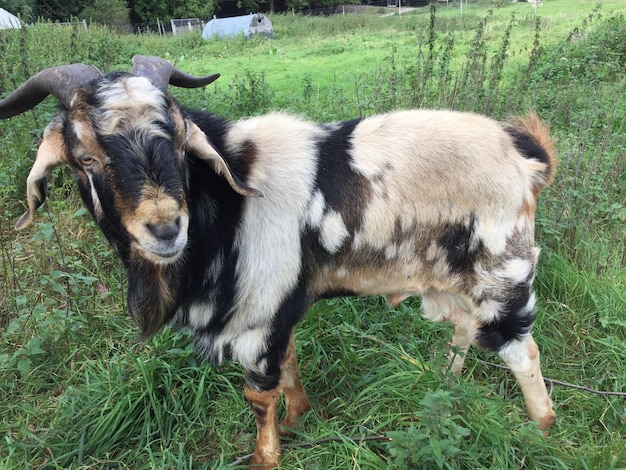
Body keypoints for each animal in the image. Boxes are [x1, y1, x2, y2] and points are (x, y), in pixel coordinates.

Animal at [0, 55, 556, 466]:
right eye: (85, 157)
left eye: (178, 142)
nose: (165, 228)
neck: (230, 202)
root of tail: (525, 157)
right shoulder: (276, 305)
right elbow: (289, 363)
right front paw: (297, 419)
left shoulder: (256, 311)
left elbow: (259, 394)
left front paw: (266, 455)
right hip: (451, 279)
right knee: (463, 331)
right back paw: (445, 382)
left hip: (501, 274)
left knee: (522, 352)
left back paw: (541, 429)